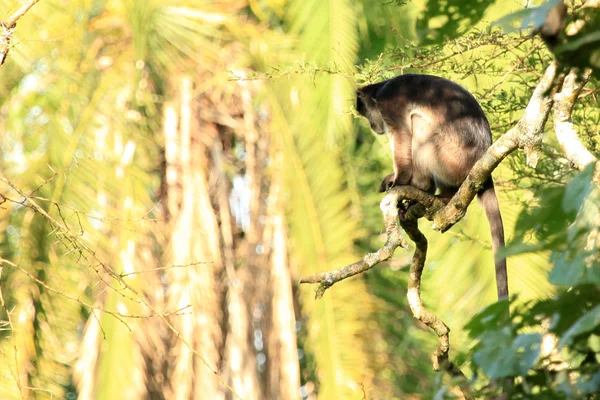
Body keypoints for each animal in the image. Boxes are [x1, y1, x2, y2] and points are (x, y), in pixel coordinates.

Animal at [358, 75, 508, 300]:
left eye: (367, 114)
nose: (373, 127)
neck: (381, 88)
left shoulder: (388, 102)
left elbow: (402, 133)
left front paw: (400, 181)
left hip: (451, 158)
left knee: (418, 123)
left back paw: (423, 187)